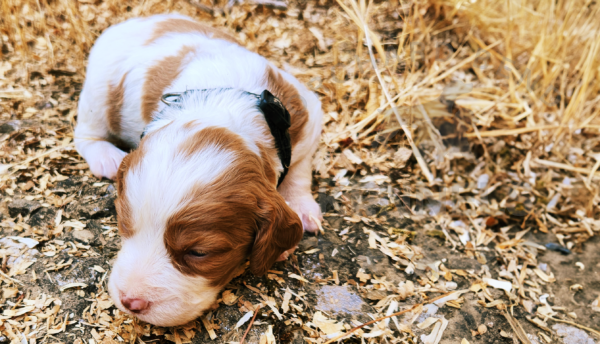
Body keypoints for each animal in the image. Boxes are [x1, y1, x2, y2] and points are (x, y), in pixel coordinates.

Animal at [75, 12, 324, 326]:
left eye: (198, 252)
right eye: (124, 224)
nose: (131, 302)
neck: (222, 110)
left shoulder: (307, 117)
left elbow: (300, 169)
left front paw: (301, 208)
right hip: (99, 92)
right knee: (86, 132)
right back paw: (106, 157)